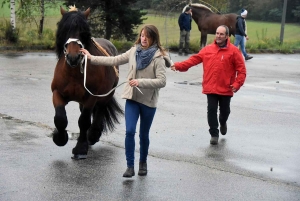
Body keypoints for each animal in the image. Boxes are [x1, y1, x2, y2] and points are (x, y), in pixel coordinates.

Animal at [51, 6, 123, 159]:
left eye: (83, 31)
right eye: (65, 30)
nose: (73, 57)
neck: (73, 73)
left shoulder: (91, 97)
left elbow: (83, 121)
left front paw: (80, 149)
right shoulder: (57, 93)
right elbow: (60, 118)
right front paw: (60, 138)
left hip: (104, 97)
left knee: (99, 112)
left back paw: (93, 135)